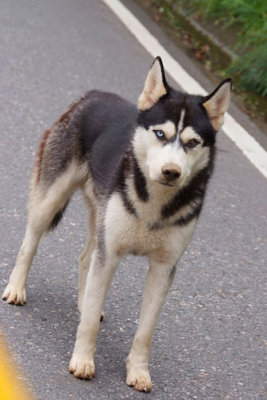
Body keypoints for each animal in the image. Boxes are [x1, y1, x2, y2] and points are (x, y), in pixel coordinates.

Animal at [2, 57, 231, 392]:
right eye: (160, 134)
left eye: (192, 142)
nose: (171, 171)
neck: (155, 205)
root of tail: (94, 94)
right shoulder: (109, 253)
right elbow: (89, 323)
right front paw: (83, 360)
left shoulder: (162, 269)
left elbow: (145, 331)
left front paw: (138, 371)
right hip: (50, 200)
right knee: (29, 244)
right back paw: (16, 288)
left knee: (86, 259)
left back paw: (83, 302)